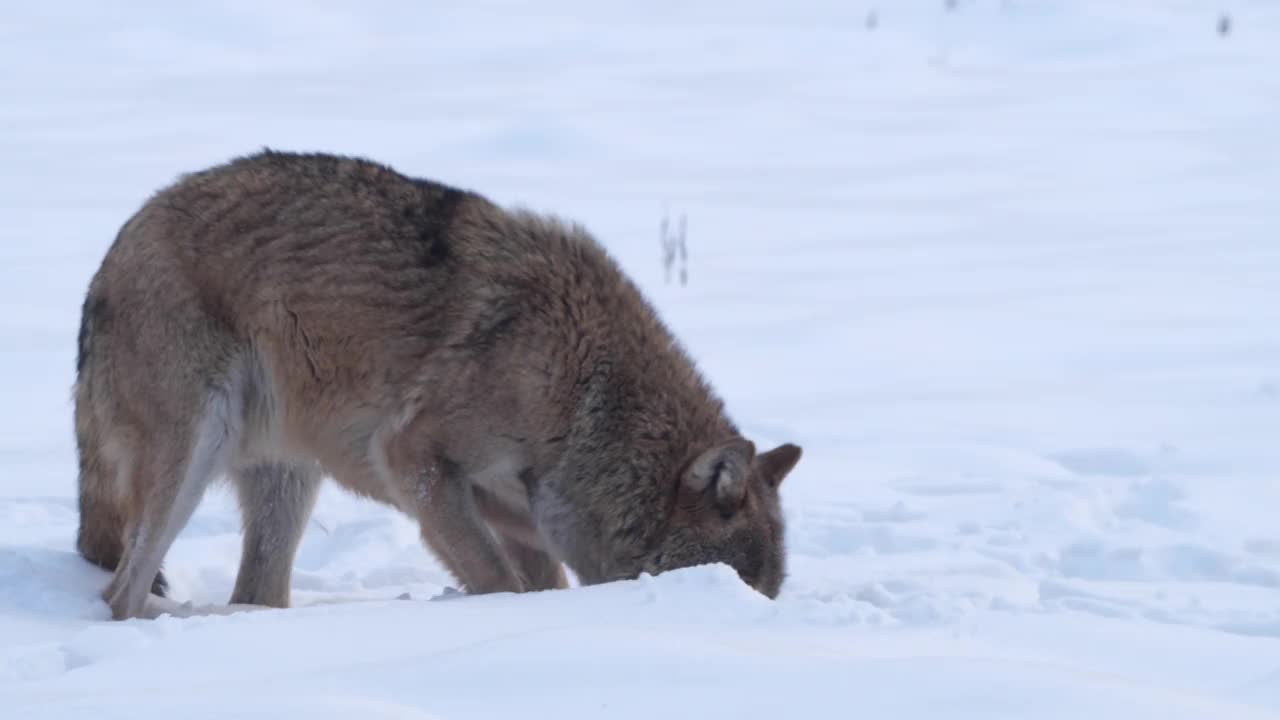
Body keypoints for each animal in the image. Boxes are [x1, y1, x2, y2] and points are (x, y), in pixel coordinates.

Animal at [72, 149, 798, 617]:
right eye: (725, 585)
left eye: (762, 594)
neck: (585, 394)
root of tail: (115, 246)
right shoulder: (414, 461)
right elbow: (500, 584)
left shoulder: (515, 509)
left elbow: (542, 583)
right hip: (193, 456)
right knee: (122, 594)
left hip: (290, 479)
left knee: (251, 594)